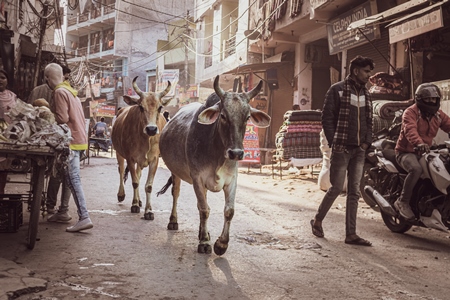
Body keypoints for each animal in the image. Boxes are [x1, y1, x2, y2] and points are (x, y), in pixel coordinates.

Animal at [111, 76, 171, 219]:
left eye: (160, 107)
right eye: (141, 107)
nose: (151, 129)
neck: (146, 139)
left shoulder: (154, 160)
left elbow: (148, 186)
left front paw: (148, 211)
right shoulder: (130, 158)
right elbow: (135, 182)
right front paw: (134, 205)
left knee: (137, 174)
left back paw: (139, 200)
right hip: (119, 154)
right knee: (121, 171)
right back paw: (122, 195)